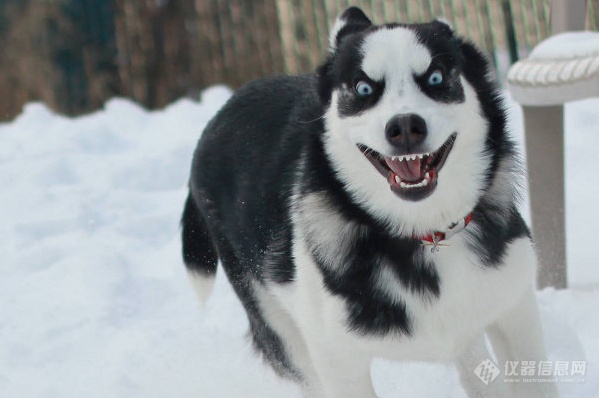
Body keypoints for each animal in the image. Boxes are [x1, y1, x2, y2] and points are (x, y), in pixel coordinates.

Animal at [182, 7, 556, 398]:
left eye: (436, 77)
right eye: (363, 88)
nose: (405, 127)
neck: (423, 232)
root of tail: (216, 118)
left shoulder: (514, 308)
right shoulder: (336, 358)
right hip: (277, 325)